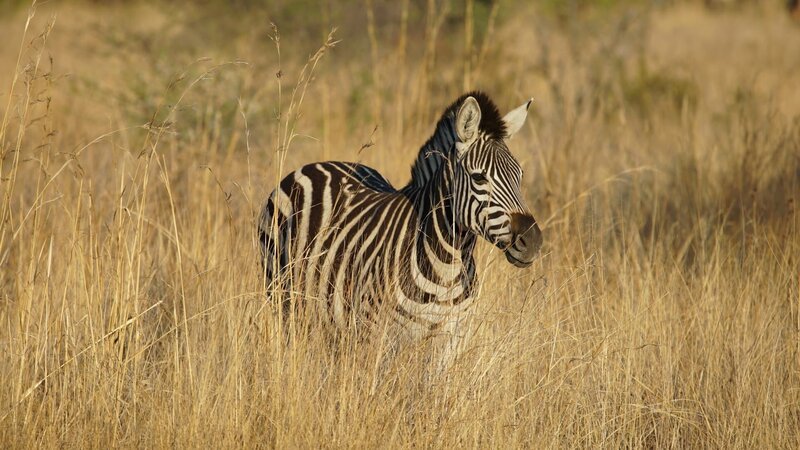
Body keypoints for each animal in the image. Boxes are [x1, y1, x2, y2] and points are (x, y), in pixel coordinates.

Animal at [259, 91, 543, 370]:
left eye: (520, 175)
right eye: (479, 178)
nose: (532, 240)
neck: (446, 267)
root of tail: (317, 165)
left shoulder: (451, 339)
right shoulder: (374, 335)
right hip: (284, 299)